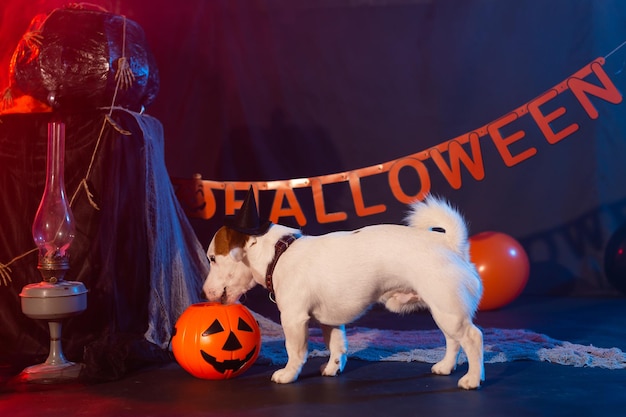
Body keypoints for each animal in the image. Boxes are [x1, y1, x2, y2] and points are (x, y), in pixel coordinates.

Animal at [204, 193, 482, 388]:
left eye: (213, 259)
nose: (204, 291)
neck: (279, 253)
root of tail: (450, 244)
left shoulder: (293, 319)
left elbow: (295, 351)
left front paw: (288, 374)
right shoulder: (331, 321)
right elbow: (336, 346)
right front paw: (333, 368)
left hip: (449, 312)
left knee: (472, 338)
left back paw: (472, 379)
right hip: (443, 311)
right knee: (453, 341)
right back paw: (446, 367)